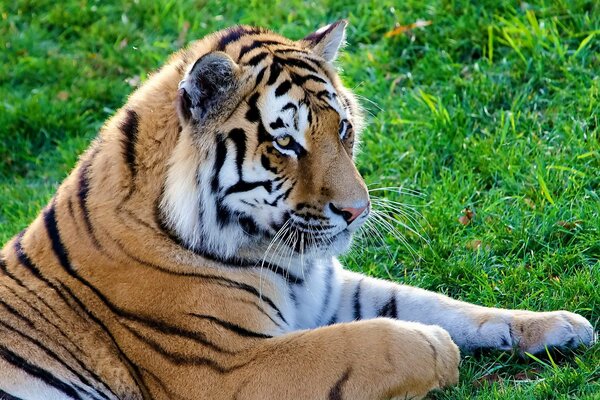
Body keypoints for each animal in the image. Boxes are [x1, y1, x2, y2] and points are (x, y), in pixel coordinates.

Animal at [0, 19, 592, 400]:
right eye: (286, 143)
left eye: (344, 128)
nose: (357, 211)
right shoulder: (223, 368)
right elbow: (377, 341)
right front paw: (435, 348)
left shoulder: (327, 291)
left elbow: (441, 304)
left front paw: (562, 324)